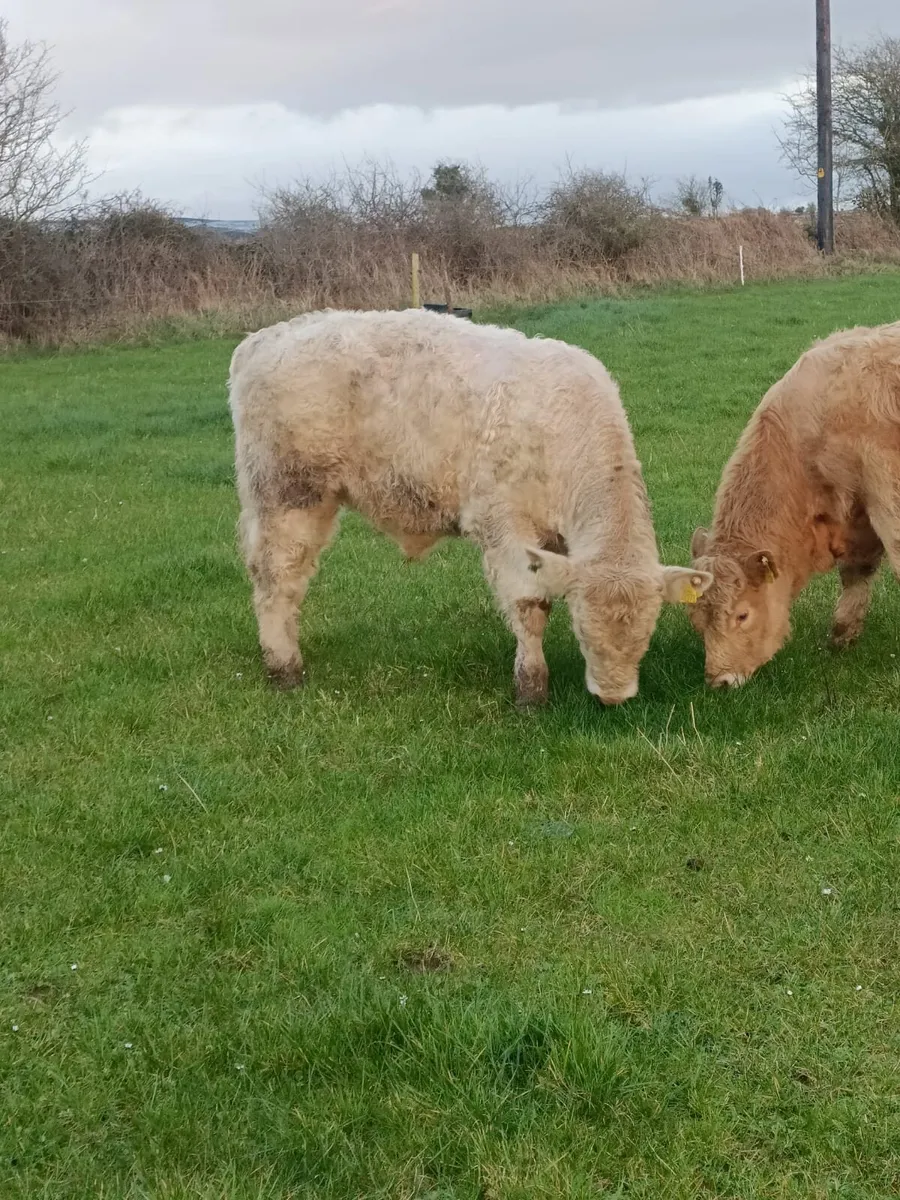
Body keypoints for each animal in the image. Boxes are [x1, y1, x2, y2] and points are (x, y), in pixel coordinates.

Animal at [228, 308, 711, 706]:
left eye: (647, 632)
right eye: (582, 630)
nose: (613, 696)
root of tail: (266, 337)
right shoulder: (505, 527)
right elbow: (529, 607)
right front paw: (531, 689)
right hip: (287, 495)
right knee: (276, 579)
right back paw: (284, 667)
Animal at [690, 319, 900, 687]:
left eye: (742, 615)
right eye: (697, 621)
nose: (720, 681)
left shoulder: (886, 496)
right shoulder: (858, 520)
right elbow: (856, 576)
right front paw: (842, 635)